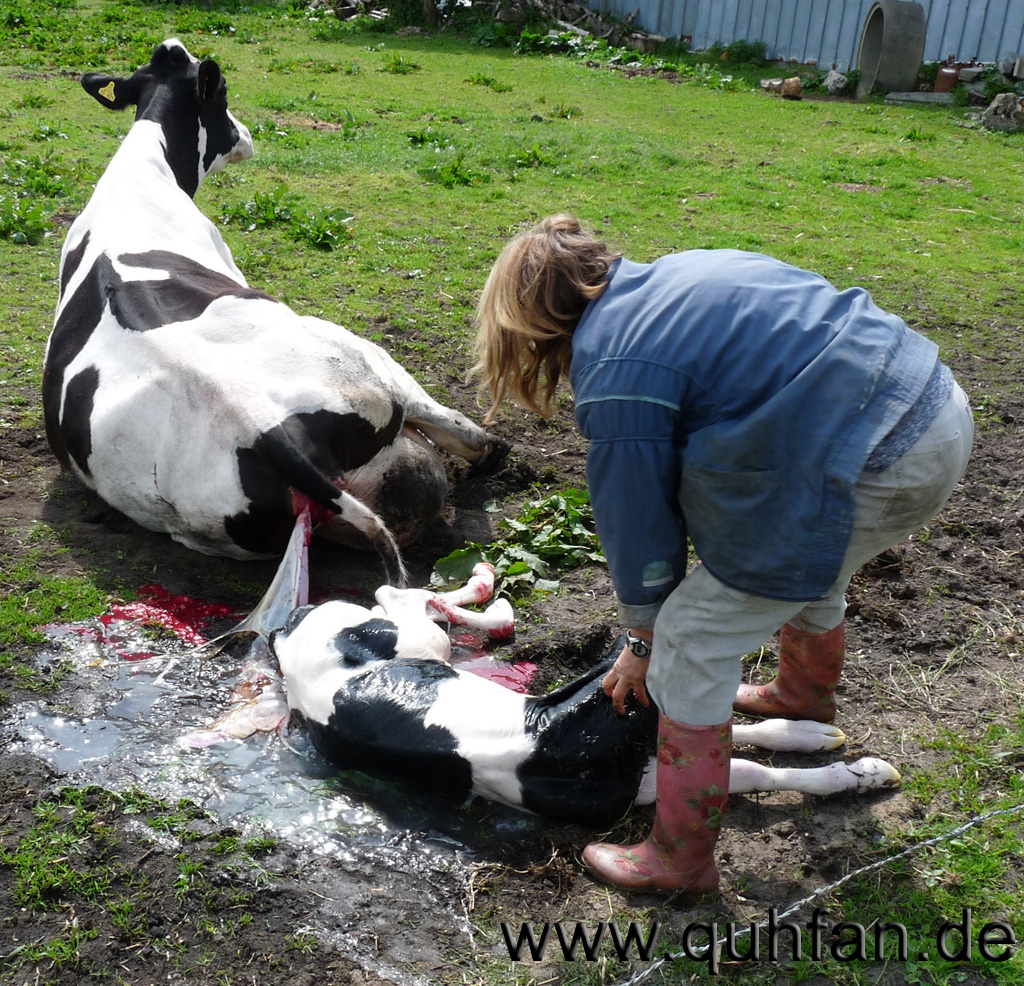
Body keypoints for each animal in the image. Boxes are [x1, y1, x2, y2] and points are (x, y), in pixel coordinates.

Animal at [41, 38, 501, 585]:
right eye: (221, 94)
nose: (245, 134)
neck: (140, 176)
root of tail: (261, 427)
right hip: (365, 364)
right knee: (454, 428)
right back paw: (498, 455)